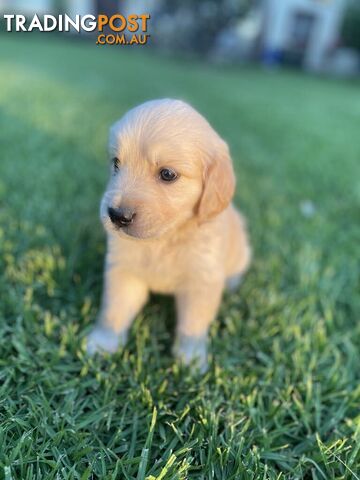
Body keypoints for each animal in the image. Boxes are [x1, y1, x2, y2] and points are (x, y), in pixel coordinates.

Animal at [87, 97, 250, 372]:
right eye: (116, 163)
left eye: (168, 174)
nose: (117, 215)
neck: (164, 239)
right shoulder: (124, 270)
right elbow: (114, 309)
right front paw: (103, 343)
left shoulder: (201, 279)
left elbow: (192, 324)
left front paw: (191, 359)